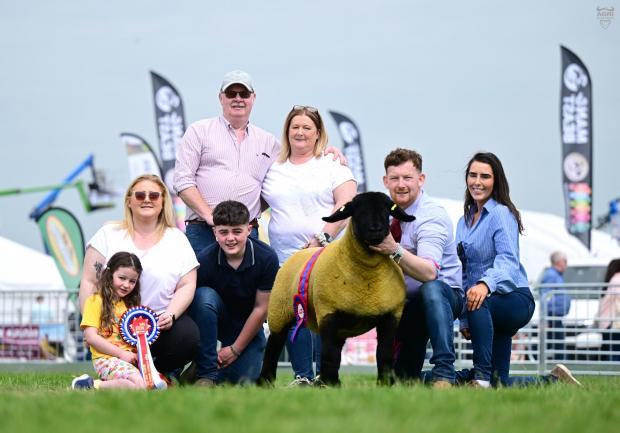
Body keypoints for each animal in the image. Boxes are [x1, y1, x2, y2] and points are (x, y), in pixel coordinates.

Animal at [260, 192, 414, 384]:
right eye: (356, 210)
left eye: (387, 209)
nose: (376, 230)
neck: (368, 279)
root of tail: (299, 252)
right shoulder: (328, 313)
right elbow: (329, 354)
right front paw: (328, 384)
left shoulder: (391, 316)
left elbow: (384, 355)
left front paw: (386, 384)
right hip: (280, 311)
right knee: (273, 347)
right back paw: (264, 382)